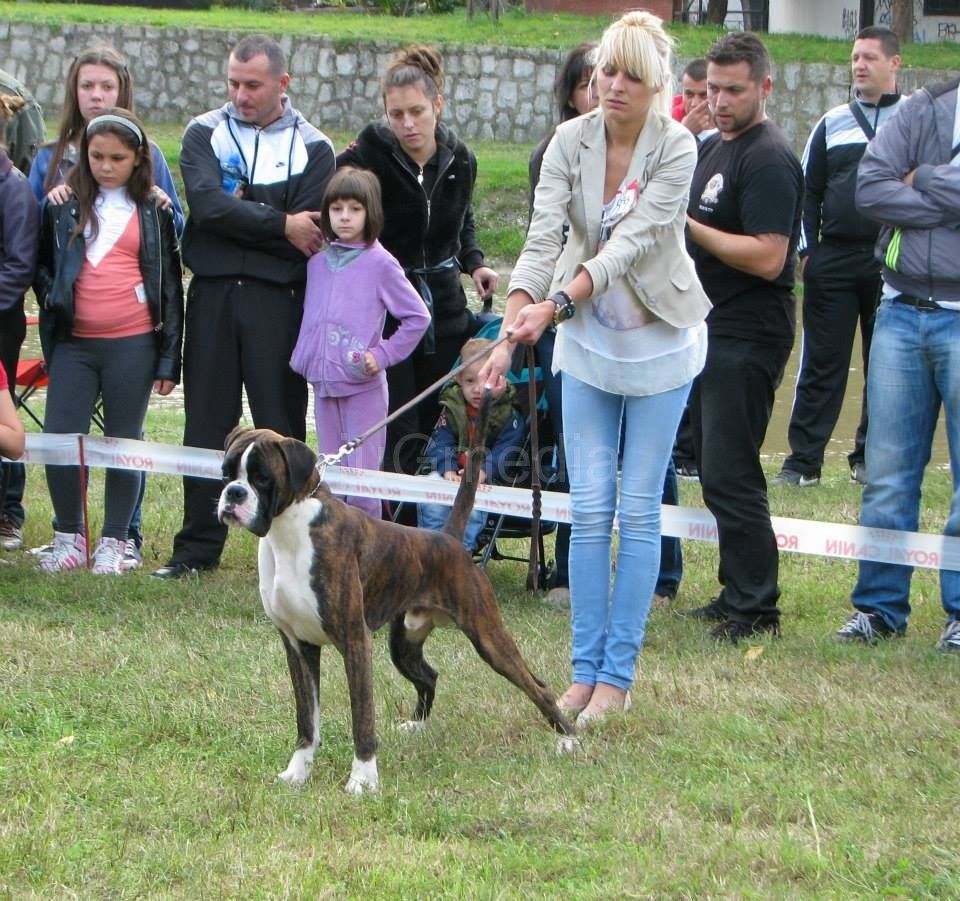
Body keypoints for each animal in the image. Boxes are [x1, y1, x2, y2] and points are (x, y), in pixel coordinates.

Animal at [218, 404, 572, 792]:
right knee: (429, 676)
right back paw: (417, 725)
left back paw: (569, 739)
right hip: (404, 644)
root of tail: (448, 539)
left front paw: (363, 779)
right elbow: (306, 719)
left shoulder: (355, 642)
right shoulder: (297, 645)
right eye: (226, 472)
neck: (289, 531)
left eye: (262, 478)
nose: (234, 494)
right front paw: (297, 772)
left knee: (537, 686)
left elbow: (362, 718)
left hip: (489, 637)